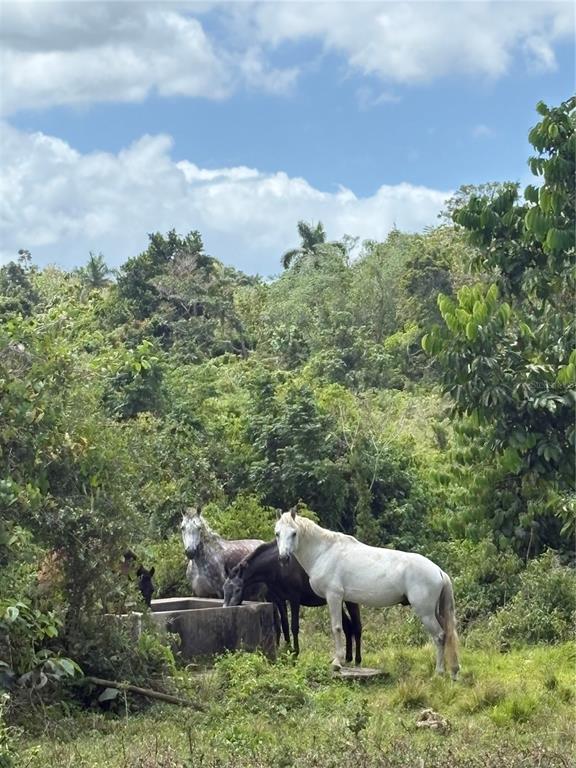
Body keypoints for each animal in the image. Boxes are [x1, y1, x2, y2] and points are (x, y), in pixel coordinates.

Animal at [222, 541, 362, 663]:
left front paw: (295, 653)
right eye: (224, 588)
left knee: (357, 626)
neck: (276, 567)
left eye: (238, 589)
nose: (227, 608)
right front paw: (287, 650)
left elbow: (294, 626)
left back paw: (357, 660)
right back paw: (348, 658)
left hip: (351, 600)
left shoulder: (294, 598)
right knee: (348, 627)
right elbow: (285, 625)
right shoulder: (279, 599)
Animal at [274, 508, 459, 678]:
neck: (324, 552)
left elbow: (337, 627)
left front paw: (337, 662)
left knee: (439, 636)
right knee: (446, 634)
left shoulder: (334, 596)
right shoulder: (342, 600)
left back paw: (439, 672)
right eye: (277, 534)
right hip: (435, 612)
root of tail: (438, 571)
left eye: (294, 533)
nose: (283, 558)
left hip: (425, 613)